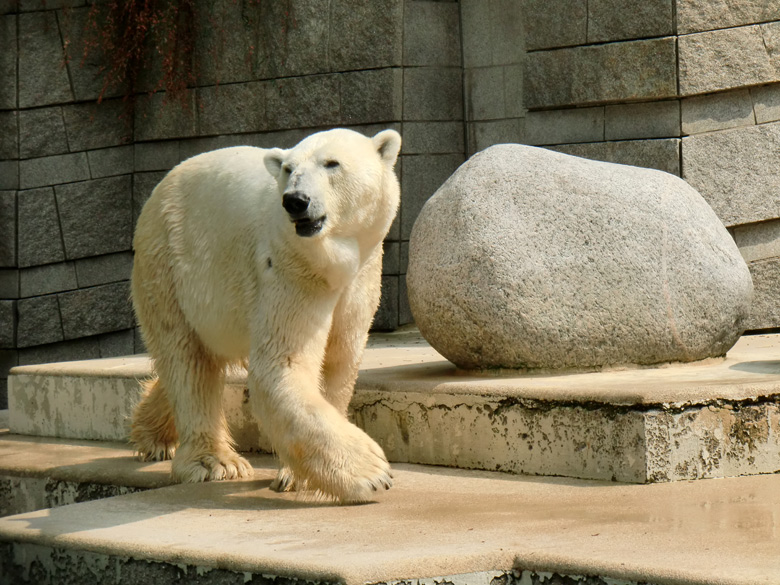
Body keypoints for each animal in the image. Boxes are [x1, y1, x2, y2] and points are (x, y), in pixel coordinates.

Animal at [130, 128, 400, 502]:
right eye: (288, 169)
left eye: (332, 163)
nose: (296, 201)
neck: (333, 261)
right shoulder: (290, 268)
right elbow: (283, 364)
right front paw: (371, 473)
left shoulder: (362, 277)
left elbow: (338, 362)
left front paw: (300, 476)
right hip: (169, 268)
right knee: (187, 361)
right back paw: (214, 462)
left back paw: (153, 435)